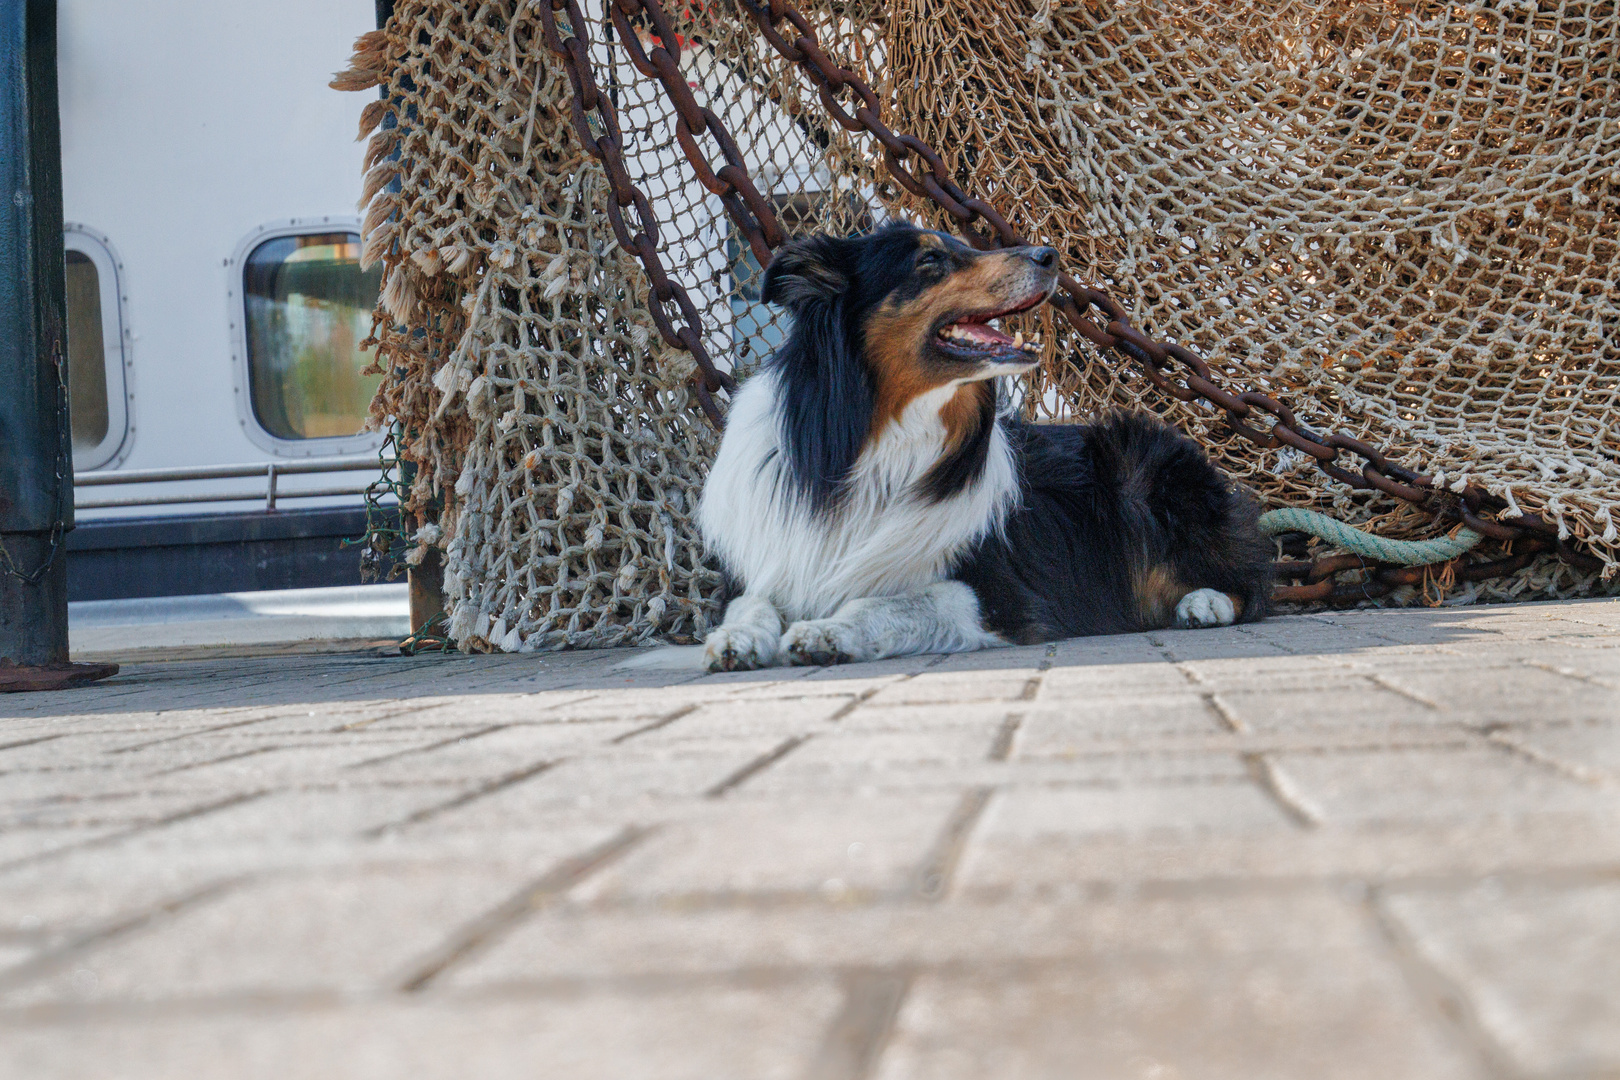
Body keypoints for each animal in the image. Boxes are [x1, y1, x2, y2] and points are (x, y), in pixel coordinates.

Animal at [625, 223, 1270, 670]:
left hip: (1146, 463)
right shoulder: (769, 559)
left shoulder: (1000, 597)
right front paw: (734, 638)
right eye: (931, 260)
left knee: (1255, 577)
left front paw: (827, 631)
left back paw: (1204, 605)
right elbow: (751, 605)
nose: (1049, 256)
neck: (879, 438)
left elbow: (894, 604)